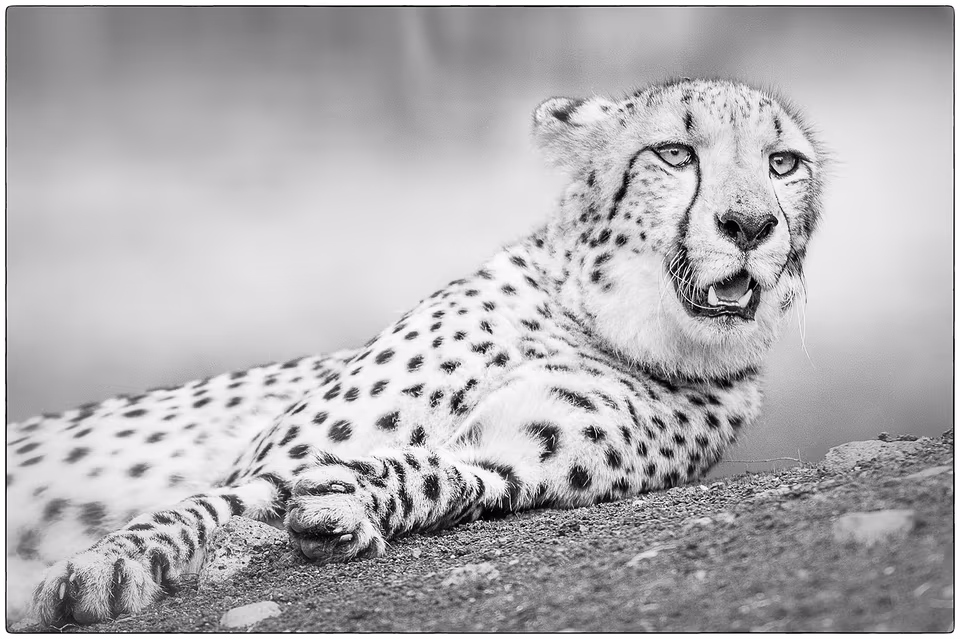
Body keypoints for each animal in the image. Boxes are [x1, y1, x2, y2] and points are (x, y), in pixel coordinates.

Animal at [6, 78, 824, 628]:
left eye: (783, 164)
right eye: (675, 153)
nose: (750, 224)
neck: (600, 322)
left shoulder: (516, 460)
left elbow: (440, 474)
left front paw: (351, 504)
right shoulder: (275, 454)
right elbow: (212, 501)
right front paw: (108, 563)